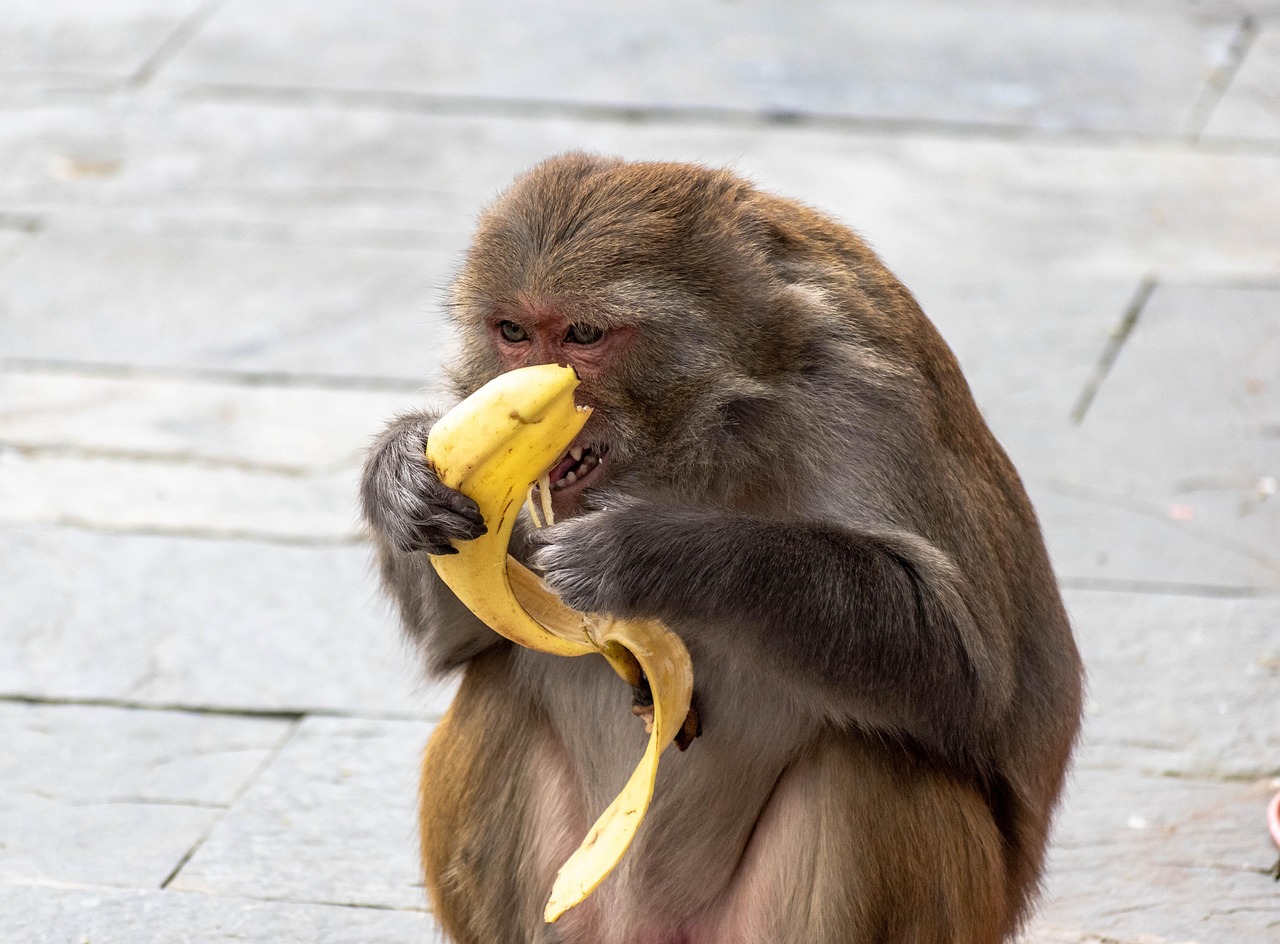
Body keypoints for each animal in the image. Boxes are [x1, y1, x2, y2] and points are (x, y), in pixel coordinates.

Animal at [360, 152, 1083, 944]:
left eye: (583, 334)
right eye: (513, 330)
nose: (528, 384)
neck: (717, 425)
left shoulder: (867, 401)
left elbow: (965, 669)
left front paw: (651, 552)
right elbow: (458, 642)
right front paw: (399, 475)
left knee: (873, 762)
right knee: (495, 692)